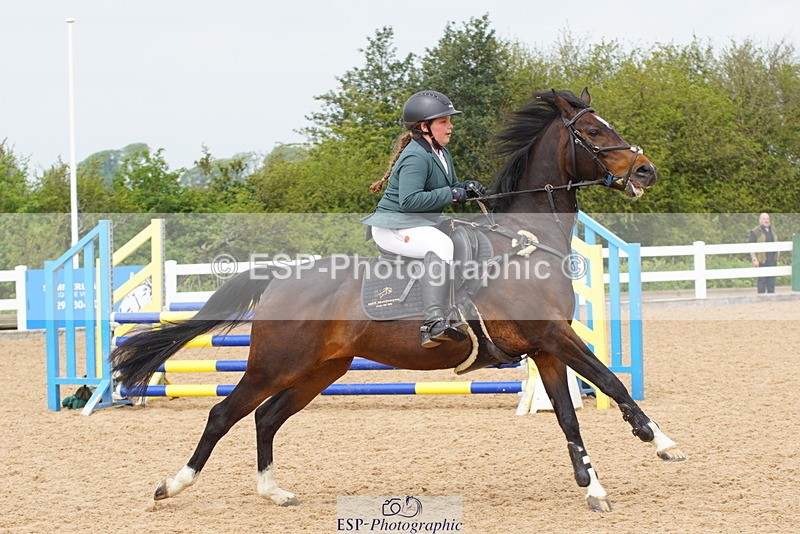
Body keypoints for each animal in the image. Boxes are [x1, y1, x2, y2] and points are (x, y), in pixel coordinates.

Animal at [111, 88, 685, 513]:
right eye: (594, 132)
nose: (646, 171)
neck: (526, 240)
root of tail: (281, 278)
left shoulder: (546, 348)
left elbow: (568, 414)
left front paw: (594, 486)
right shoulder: (554, 336)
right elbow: (610, 381)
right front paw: (660, 442)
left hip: (323, 369)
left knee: (266, 418)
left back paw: (274, 491)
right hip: (276, 363)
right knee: (224, 414)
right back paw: (172, 485)